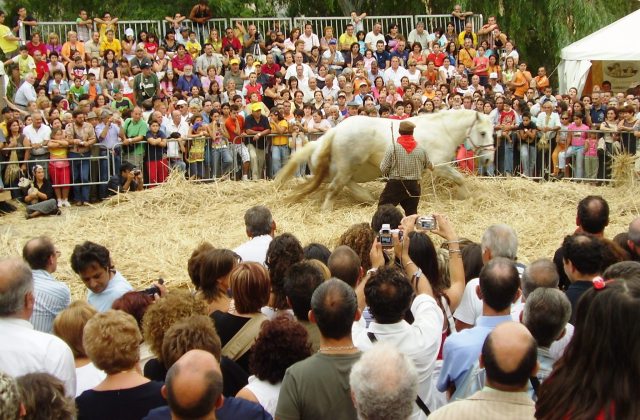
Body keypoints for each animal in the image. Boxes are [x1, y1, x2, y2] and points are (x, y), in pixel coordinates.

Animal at [276, 110, 496, 212]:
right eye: (482, 133)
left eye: (493, 131)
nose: (488, 159)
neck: (443, 130)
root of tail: (336, 131)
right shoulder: (439, 166)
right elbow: (459, 177)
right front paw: (467, 196)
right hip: (347, 166)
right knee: (334, 187)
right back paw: (328, 209)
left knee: (344, 184)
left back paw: (367, 197)